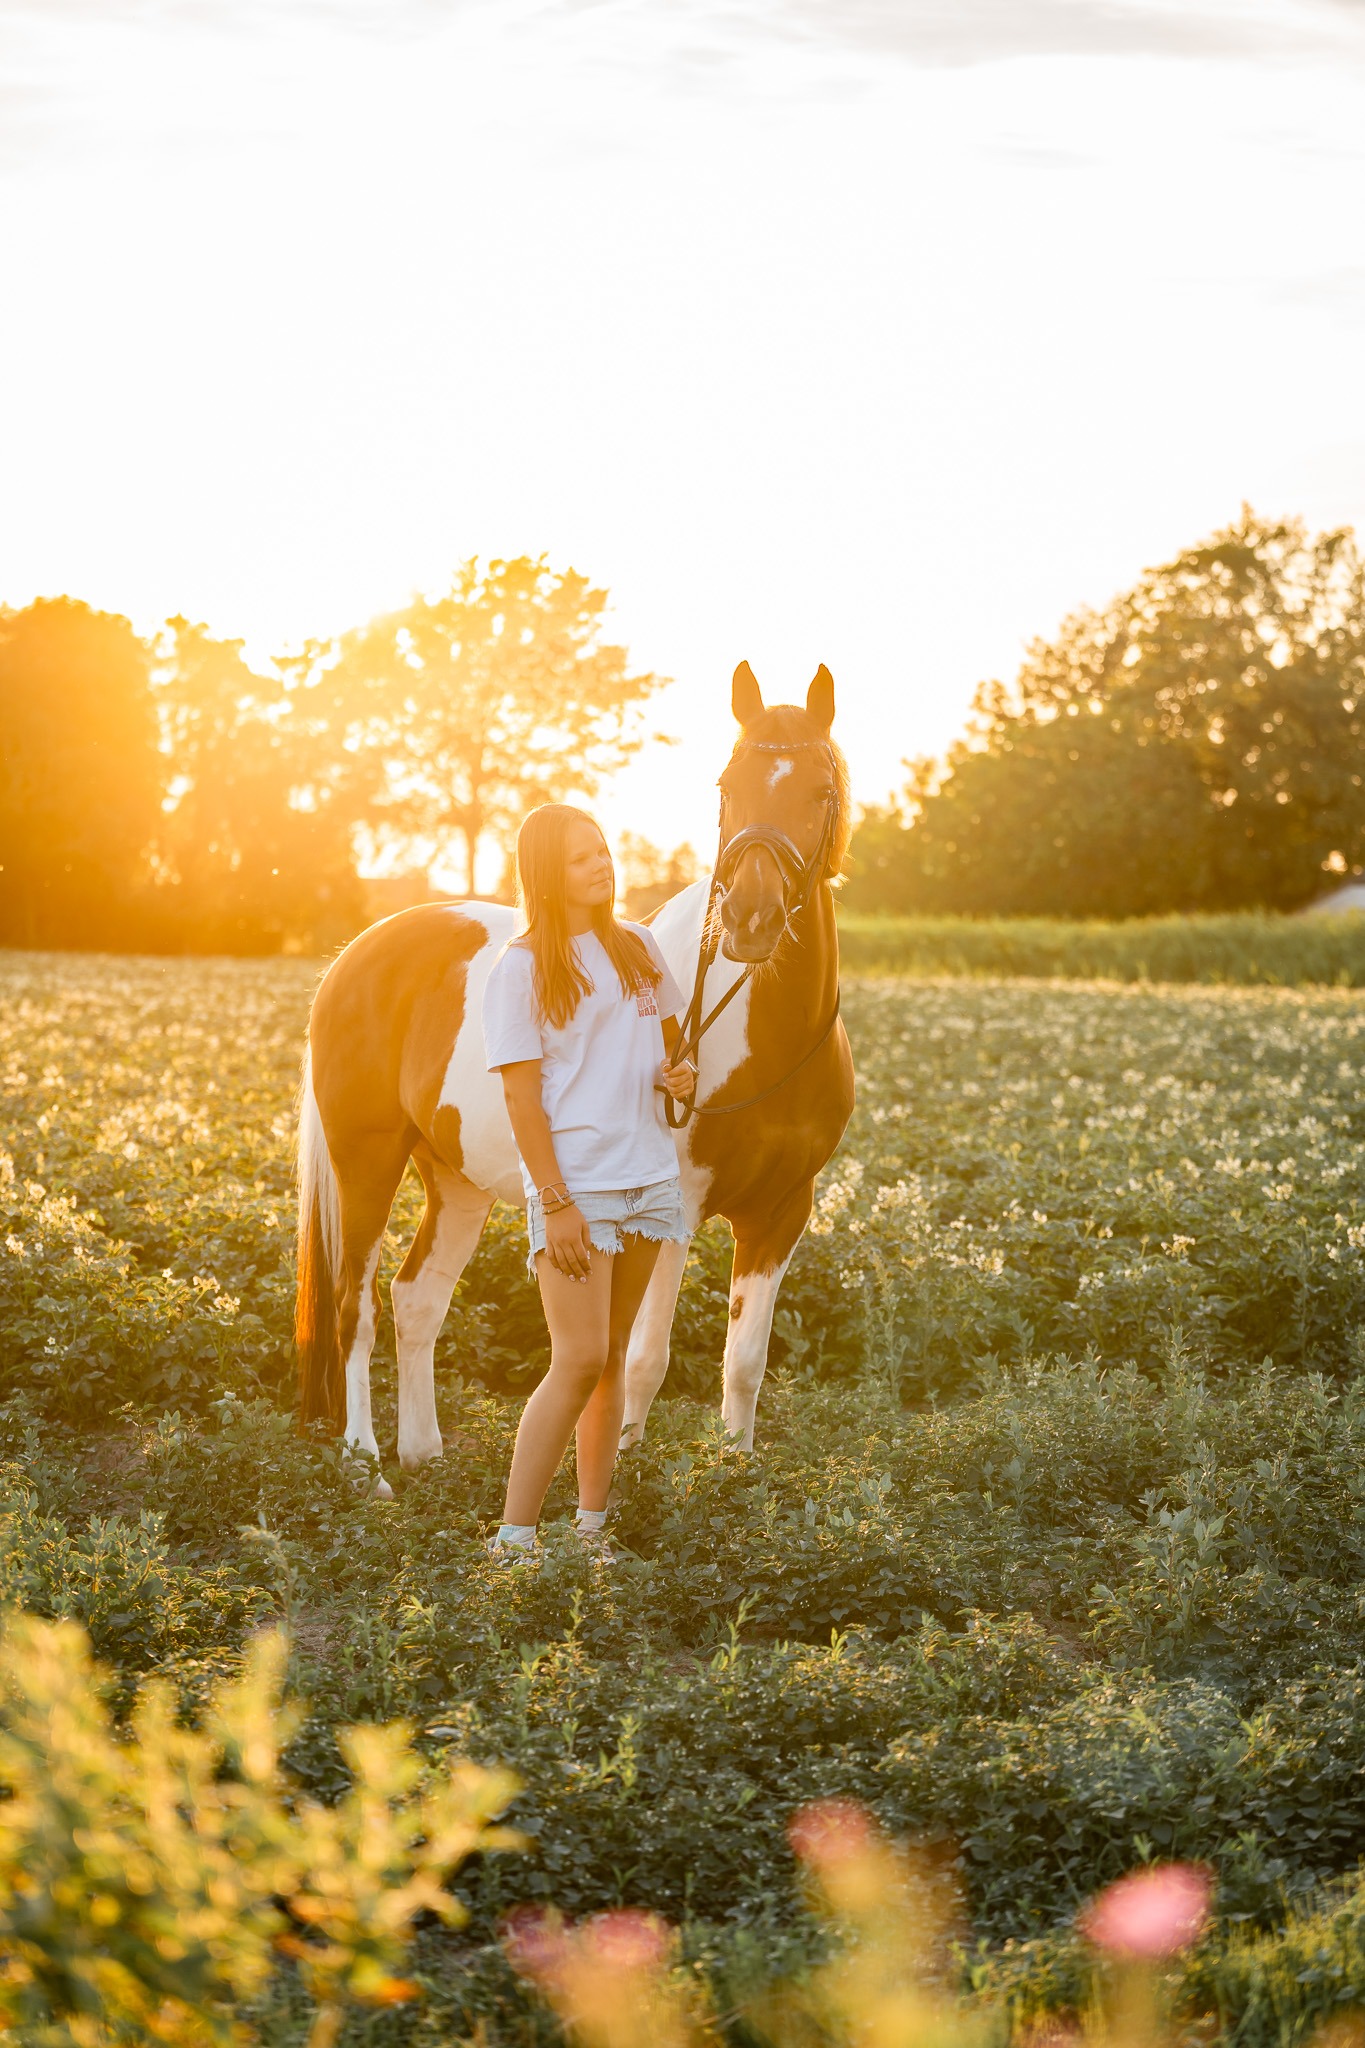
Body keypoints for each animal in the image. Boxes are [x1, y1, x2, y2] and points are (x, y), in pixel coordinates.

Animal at [295, 662, 854, 1487]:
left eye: (819, 789)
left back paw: (423, 1451)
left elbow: (744, 1361)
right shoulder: (676, 1209)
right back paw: (365, 1461)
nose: (749, 918)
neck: (758, 1030)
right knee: (353, 1308)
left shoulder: (782, 1213)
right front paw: (626, 1462)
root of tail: (354, 957)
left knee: (416, 1298)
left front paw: (734, 1470)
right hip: (365, 1160)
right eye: (726, 786)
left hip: (455, 1179)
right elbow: (646, 1357)